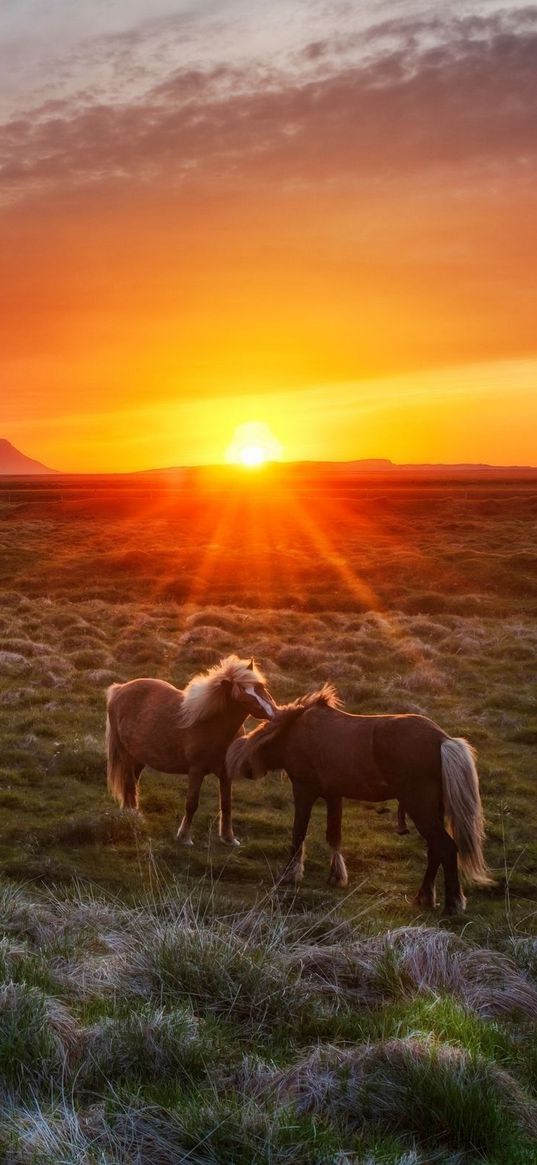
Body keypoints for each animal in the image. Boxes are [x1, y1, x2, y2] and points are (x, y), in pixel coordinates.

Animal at [108, 657, 276, 848]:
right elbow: (191, 803)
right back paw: (132, 818)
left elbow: (226, 804)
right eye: (242, 695)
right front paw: (184, 837)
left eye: (260, 686)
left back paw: (132, 814)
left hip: (137, 759)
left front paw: (229, 838)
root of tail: (119, 689)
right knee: (129, 785)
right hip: (126, 755)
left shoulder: (226, 774)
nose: (274, 713)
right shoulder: (196, 770)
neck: (212, 724)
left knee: (131, 785)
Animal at [223, 685, 491, 913]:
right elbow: (334, 836)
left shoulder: (304, 791)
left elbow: (298, 834)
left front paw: (291, 874)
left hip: (420, 807)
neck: (294, 733)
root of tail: (442, 740)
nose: (246, 769)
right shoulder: (334, 796)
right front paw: (336, 876)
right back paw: (424, 897)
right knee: (435, 849)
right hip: (432, 809)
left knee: (445, 847)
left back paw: (453, 904)